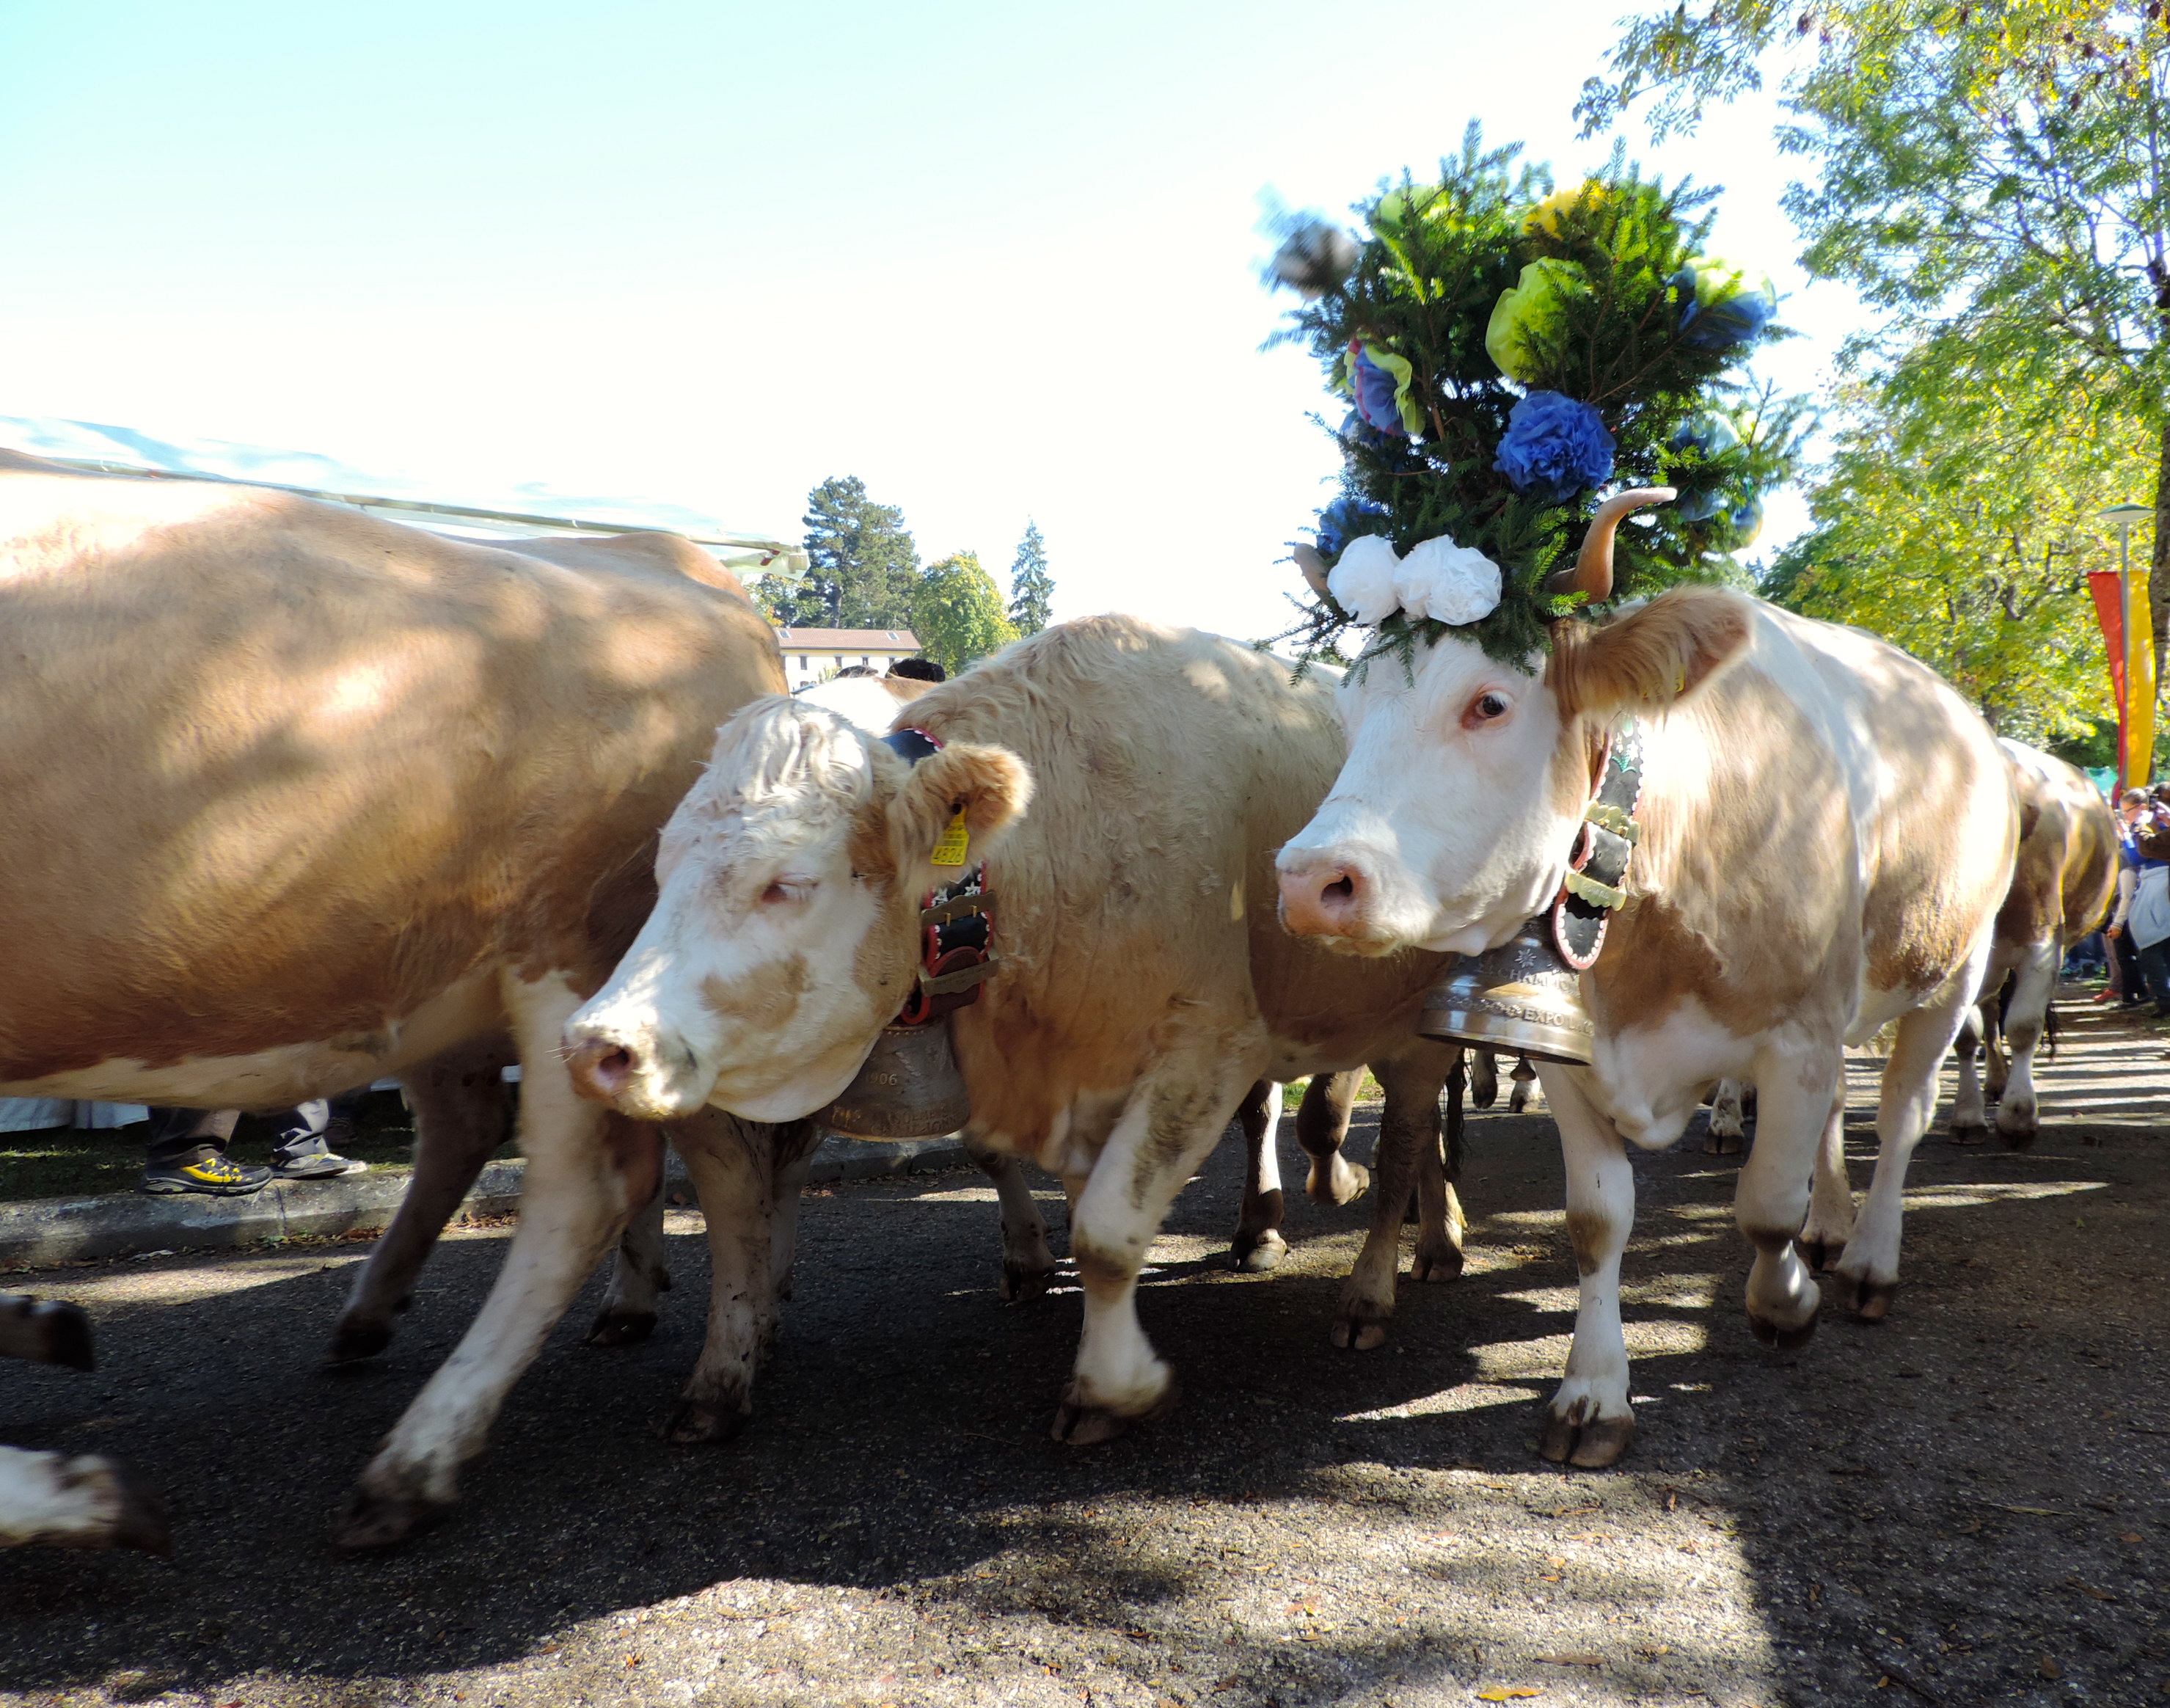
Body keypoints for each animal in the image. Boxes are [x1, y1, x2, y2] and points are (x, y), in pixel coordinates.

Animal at [0, 449, 789, 1550]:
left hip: (570, 953)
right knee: (615, 1148)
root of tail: (664, 557)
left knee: (592, 1187)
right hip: (499, 989)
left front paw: (68, 1489)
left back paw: (418, 1461)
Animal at [561, 616, 1471, 1445]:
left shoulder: (1210, 1049)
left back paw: (1376, 1283)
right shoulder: (1078, 1078)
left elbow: (1108, 1233)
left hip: (1418, 1028)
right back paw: (1420, 1239)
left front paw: (1115, 1387)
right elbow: (1088, 1215)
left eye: (786, 882)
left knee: (1405, 1142)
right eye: (662, 867)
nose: (595, 1043)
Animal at [1273, 491, 2018, 1467]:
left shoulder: (1797, 1033)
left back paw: (1865, 1261)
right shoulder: (1570, 1045)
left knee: (1901, 1113)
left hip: (1953, 970)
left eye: (1489, 703)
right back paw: (1831, 1225)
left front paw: (1785, 1304)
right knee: (1835, 1117)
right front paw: (1593, 1393)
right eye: (1350, 709)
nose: (1307, 881)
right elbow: (1597, 1221)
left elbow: (1764, 1204)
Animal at [1948, 740, 2116, 1147]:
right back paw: (1995, 1080)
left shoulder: (2041, 945)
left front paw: (2019, 1117)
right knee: (1990, 1011)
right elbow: (1967, 1034)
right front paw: (1967, 1114)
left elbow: (2023, 1025)